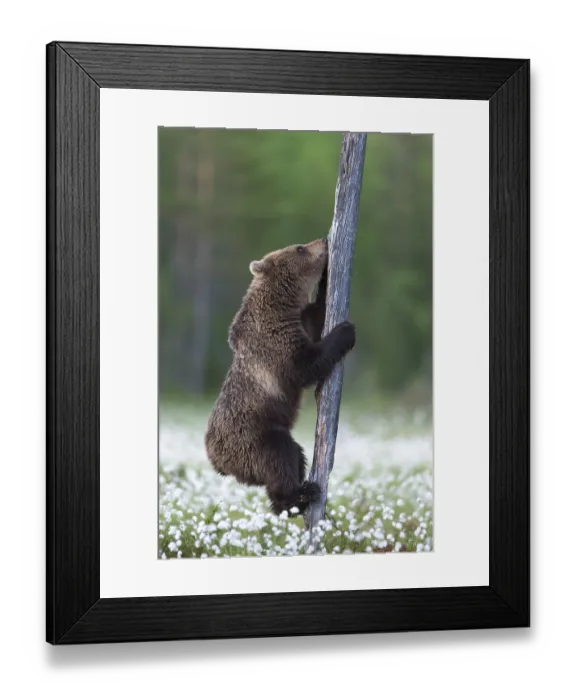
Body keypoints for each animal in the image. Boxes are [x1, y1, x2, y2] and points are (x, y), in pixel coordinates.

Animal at [204, 237, 356, 516]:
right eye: (299, 248)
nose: (323, 240)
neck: (279, 306)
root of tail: (217, 463)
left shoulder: (300, 322)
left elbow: (317, 314)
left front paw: (326, 280)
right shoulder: (274, 343)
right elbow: (305, 367)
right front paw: (345, 330)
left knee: (295, 454)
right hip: (254, 439)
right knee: (280, 455)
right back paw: (301, 494)